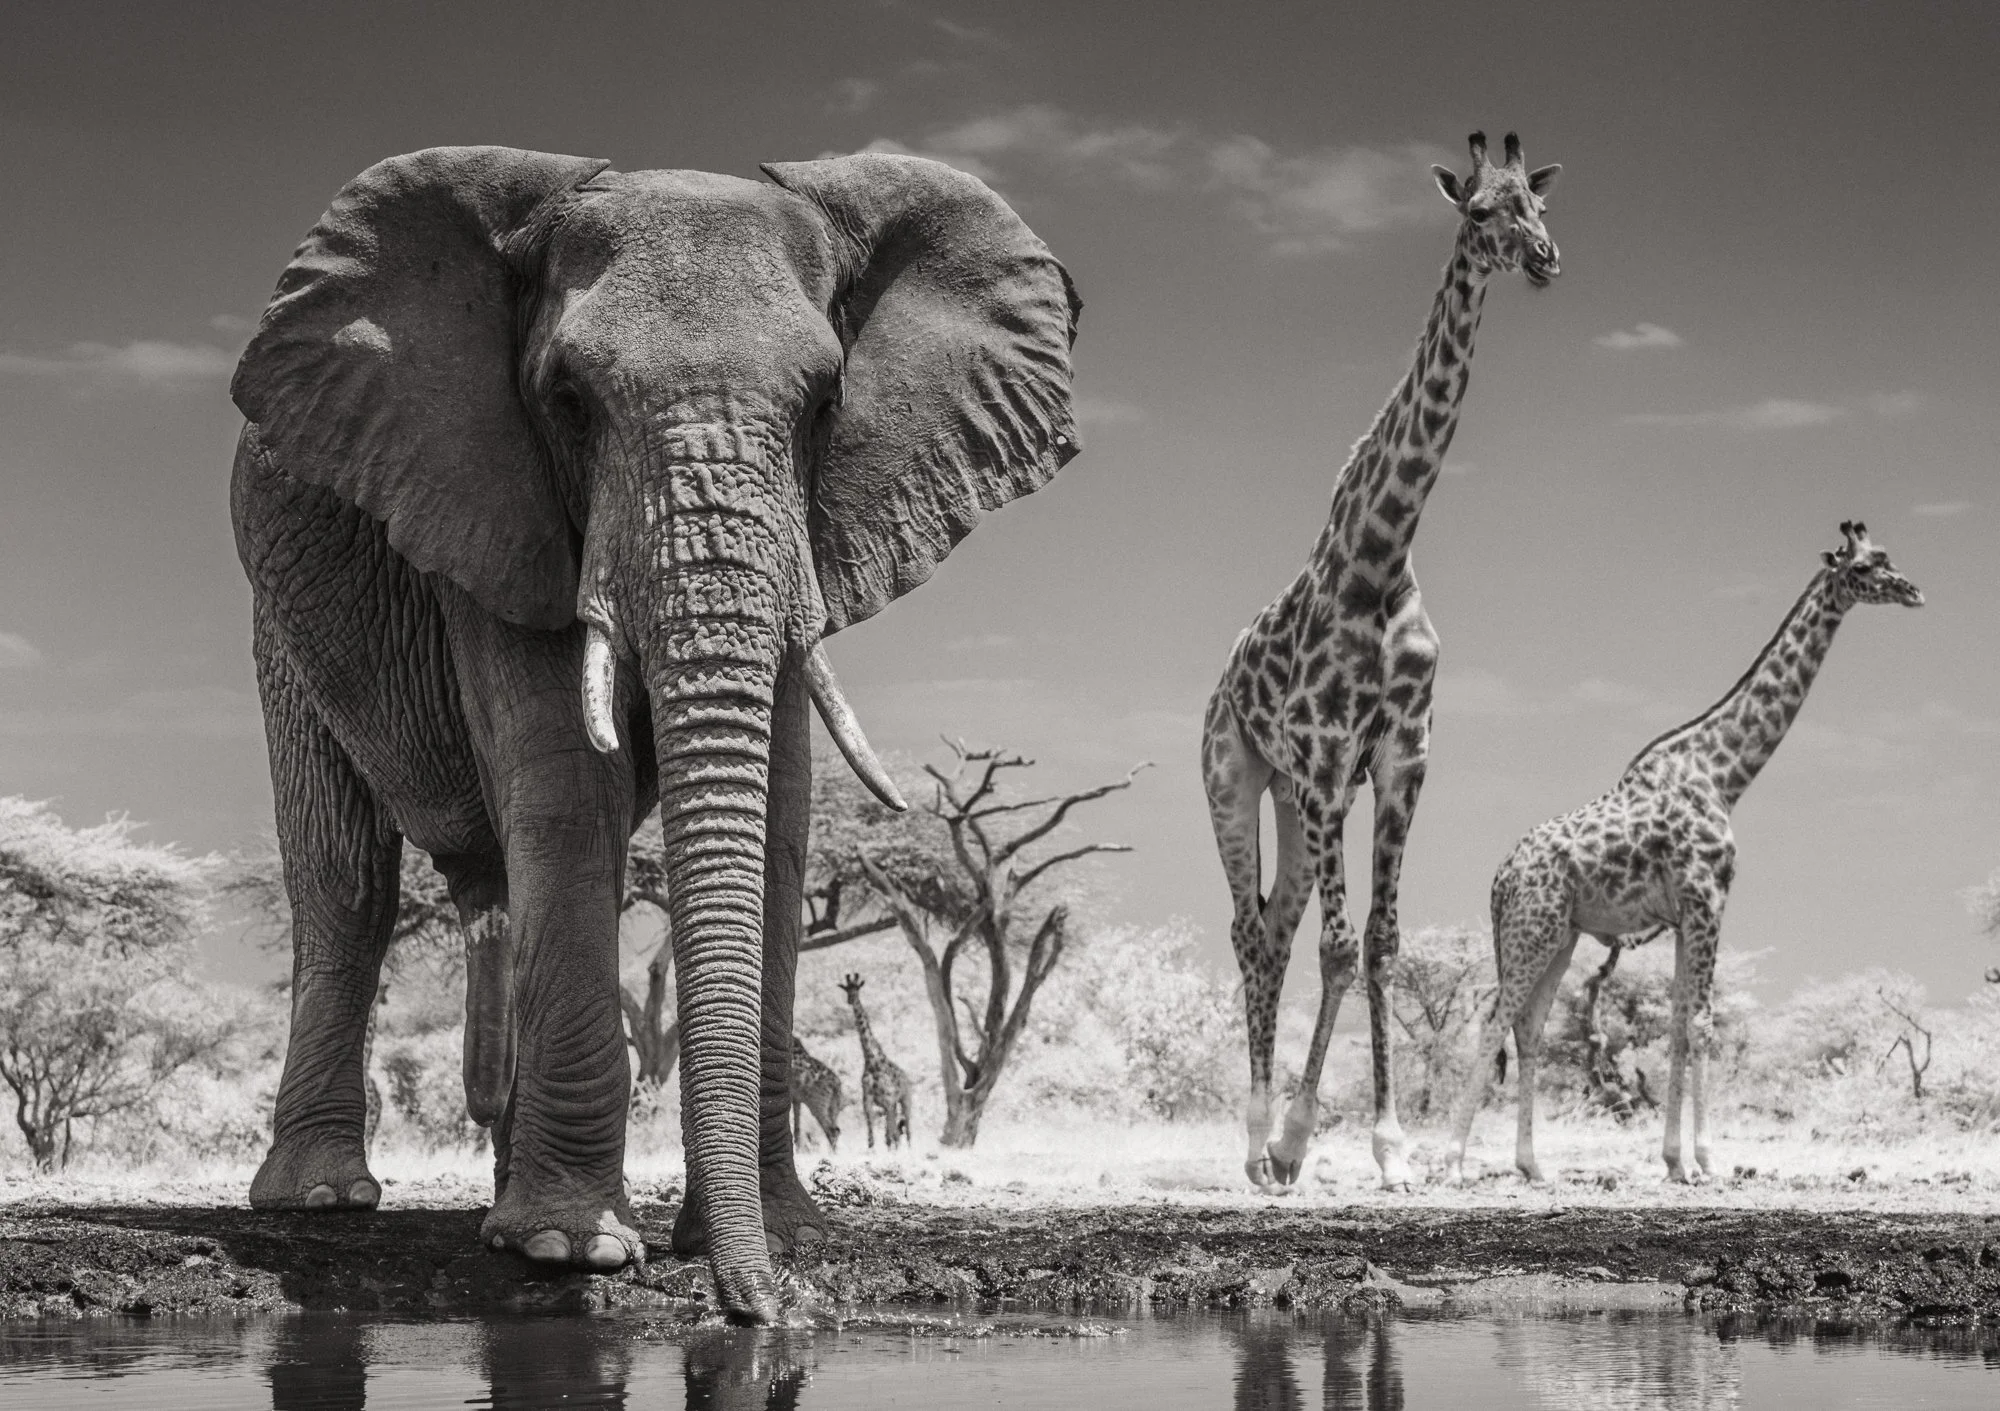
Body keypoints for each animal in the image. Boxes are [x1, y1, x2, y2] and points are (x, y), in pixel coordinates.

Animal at [839, 973, 912, 1149]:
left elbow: (893, 1135)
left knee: (907, 1131)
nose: (850, 1000)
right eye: (846, 990)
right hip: (890, 1106)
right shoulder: (868, 1100)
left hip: (905, 1100)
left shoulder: (889, 1100)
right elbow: (872, 1139)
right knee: (892, 1133)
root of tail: (906, 1076)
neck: (872, 1060)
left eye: (857, 989)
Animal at [1201, 131, 1562, 1191]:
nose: (1544, 259)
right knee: (1251, 932)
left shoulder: (1402, 757)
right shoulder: (1328, 758)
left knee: (1276, 929)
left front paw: (1391, 1146)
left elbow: (1383, 944)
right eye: (1478, 211)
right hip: (1237, 778)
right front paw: (1295, 1140)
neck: (1379, 555)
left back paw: (1269, 1142)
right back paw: (1253, 1143)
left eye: (1538, 203)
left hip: (1291, 797)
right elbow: (1338, 946)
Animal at [1447, 522, 1924, 1184]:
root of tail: (1498, 878)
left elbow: (1674, 1025)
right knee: (1494, 1019)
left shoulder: (1680, 916)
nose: (1912, 590)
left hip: (1559, 935)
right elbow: (1701, 1023)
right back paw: (1450, 1162)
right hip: (1530, 930)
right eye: (1866, 565)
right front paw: (1707, 1159)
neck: (1724, 773)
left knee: (1529, 1028)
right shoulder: (1708, 899)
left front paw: (1674, 1161)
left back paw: (1533, 1166)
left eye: (1887, 557)